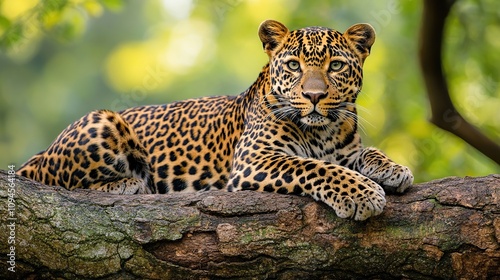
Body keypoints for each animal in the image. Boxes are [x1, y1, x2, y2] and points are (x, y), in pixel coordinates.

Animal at [16, 20, 414, 221]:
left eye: (336, 66)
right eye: (293, 65)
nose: (314, 96)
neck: (324, 130)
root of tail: (40, 152)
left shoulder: (344, 150)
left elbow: (362, 155)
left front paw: (393, 169)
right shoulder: (255, 160)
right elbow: (313, 167)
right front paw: (362, 194)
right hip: (103, 120)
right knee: (63, 182)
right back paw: (127, 184)